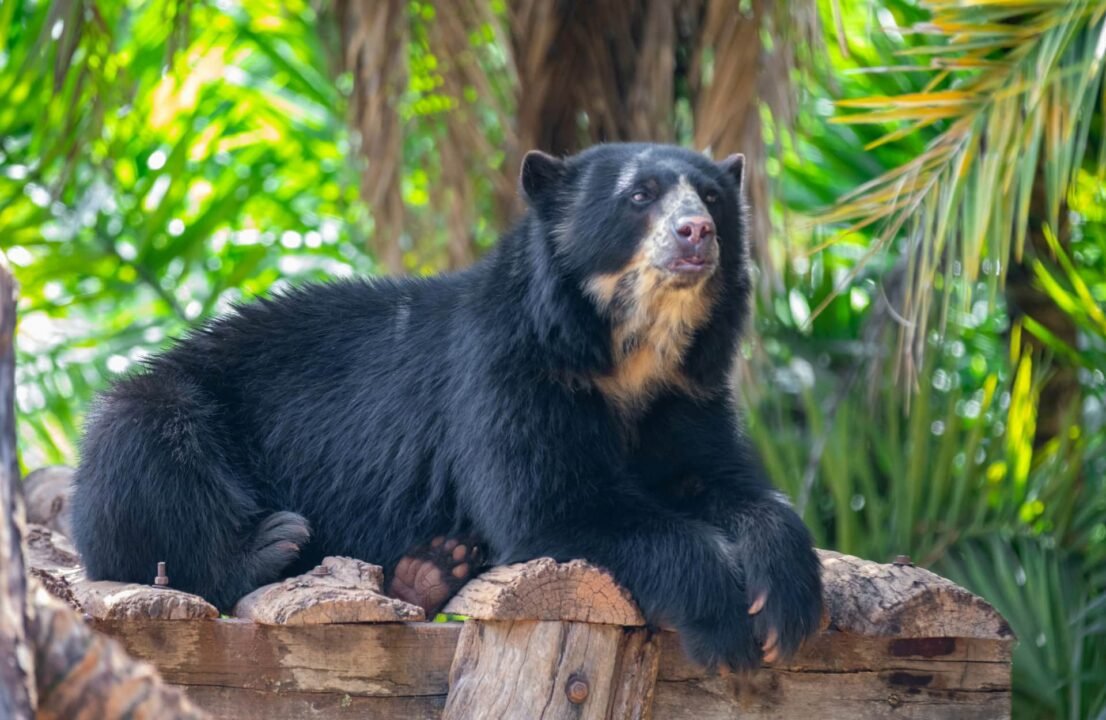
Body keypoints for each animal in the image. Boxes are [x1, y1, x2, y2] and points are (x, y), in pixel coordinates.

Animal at [70, 143, 822, 671]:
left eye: (714, 197)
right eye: (640, 195)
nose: (696, 233)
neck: (628, 352)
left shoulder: (688, 391)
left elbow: (724, 482)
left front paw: (785, 599)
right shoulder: (507, 374)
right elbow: (552, 505)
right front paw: (724, 619)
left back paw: (433, 569)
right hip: (165, 410)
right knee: (147, 450)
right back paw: (273, 545)